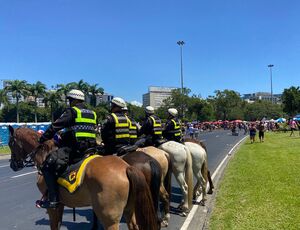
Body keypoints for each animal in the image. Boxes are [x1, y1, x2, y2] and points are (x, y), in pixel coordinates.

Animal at [8, 126, 158, 230]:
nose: (13, 165)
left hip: (110, 218)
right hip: (129, 210)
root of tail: (126, 167)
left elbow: (54, 226)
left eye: (10, 144)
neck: (45, 155)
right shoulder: (60, 205)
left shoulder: (52, 207)